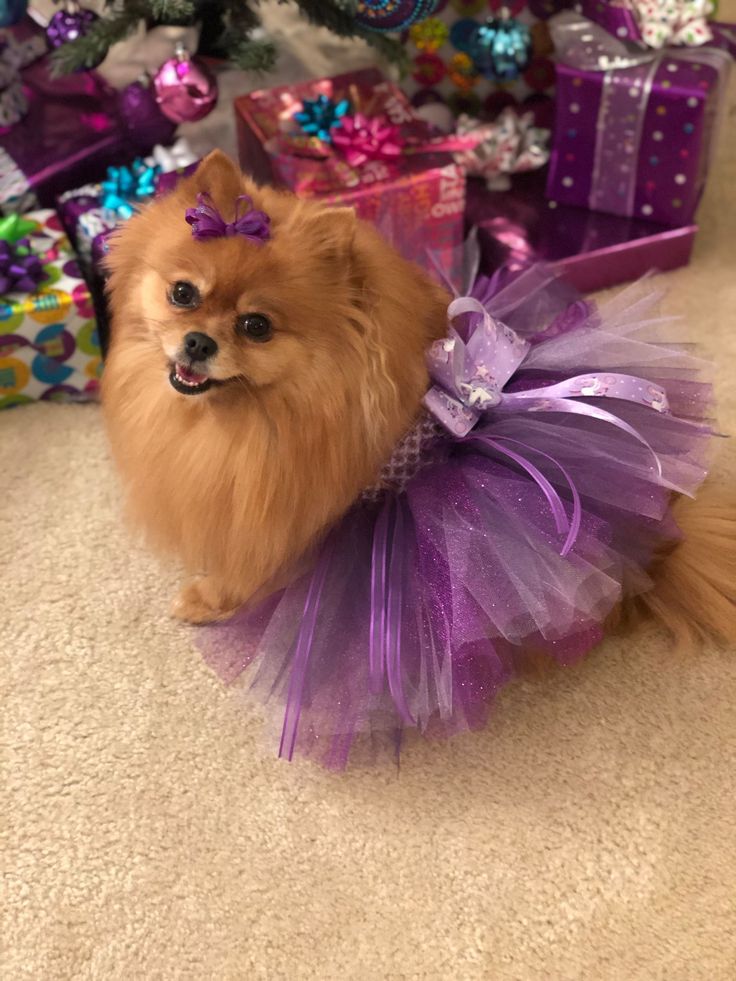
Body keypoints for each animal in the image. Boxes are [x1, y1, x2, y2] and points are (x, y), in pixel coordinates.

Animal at [103, 149, 736, 648]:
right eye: (182, 294)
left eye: (256, 326)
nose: (198, 341)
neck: (257, 415)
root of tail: (664, 542)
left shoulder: (286, 517)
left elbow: (246, 573)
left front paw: (206, 599)